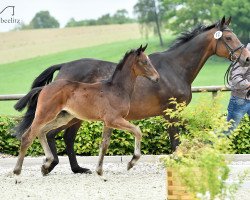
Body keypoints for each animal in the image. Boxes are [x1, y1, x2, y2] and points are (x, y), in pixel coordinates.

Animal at [13, 45, 158, 175]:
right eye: (145, 62)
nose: (157, 78)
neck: (117, 89)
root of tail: (44, 88)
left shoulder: (108, 122)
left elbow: (104, 144)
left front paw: (99, 170)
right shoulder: (114, 119)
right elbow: (137, 131)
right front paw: (131, 162)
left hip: (63, 117)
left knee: (42, 132)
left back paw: (47, 163)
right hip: (45, 114)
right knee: (27, 137)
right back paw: (17, 170)